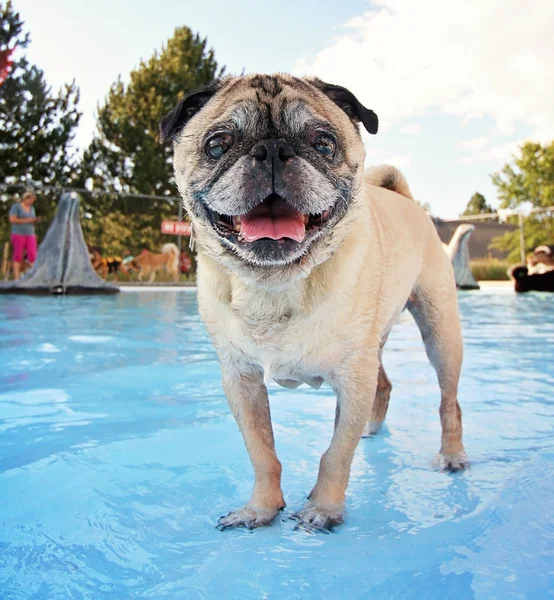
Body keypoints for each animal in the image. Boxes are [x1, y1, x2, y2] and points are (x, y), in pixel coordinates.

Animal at [160, 74, 466, 528]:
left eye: (323, 143)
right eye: (218, 145)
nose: (271, 150)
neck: (275, 285)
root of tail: (407, 201)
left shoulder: (353, 380)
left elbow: (336, 454)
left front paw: (323, 508)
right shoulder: (241, 381)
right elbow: (262, 453)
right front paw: (262, 508)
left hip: (440, 333)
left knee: (449, 401)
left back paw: (452, 454)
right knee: (385, 385)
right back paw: (373, 428)